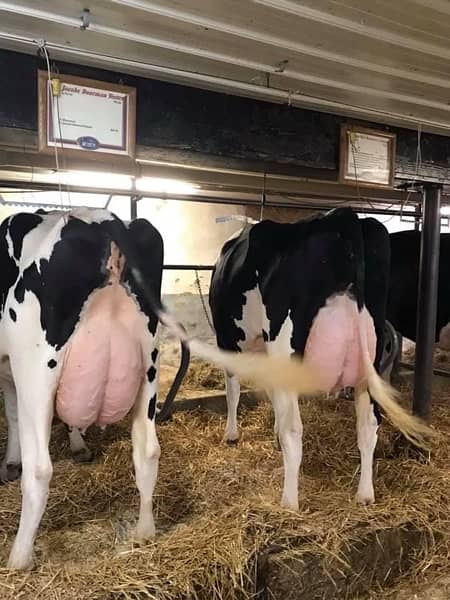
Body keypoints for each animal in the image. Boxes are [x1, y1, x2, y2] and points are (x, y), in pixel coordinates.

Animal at [209, 207, 430, 510]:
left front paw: (231, 434)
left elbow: (232, 390)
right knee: (368, 425)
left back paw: (289, 503)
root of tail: (342, 215)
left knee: (294, 431)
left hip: (285, 345)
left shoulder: (227, 338)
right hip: (370, 363)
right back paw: (365, 495)